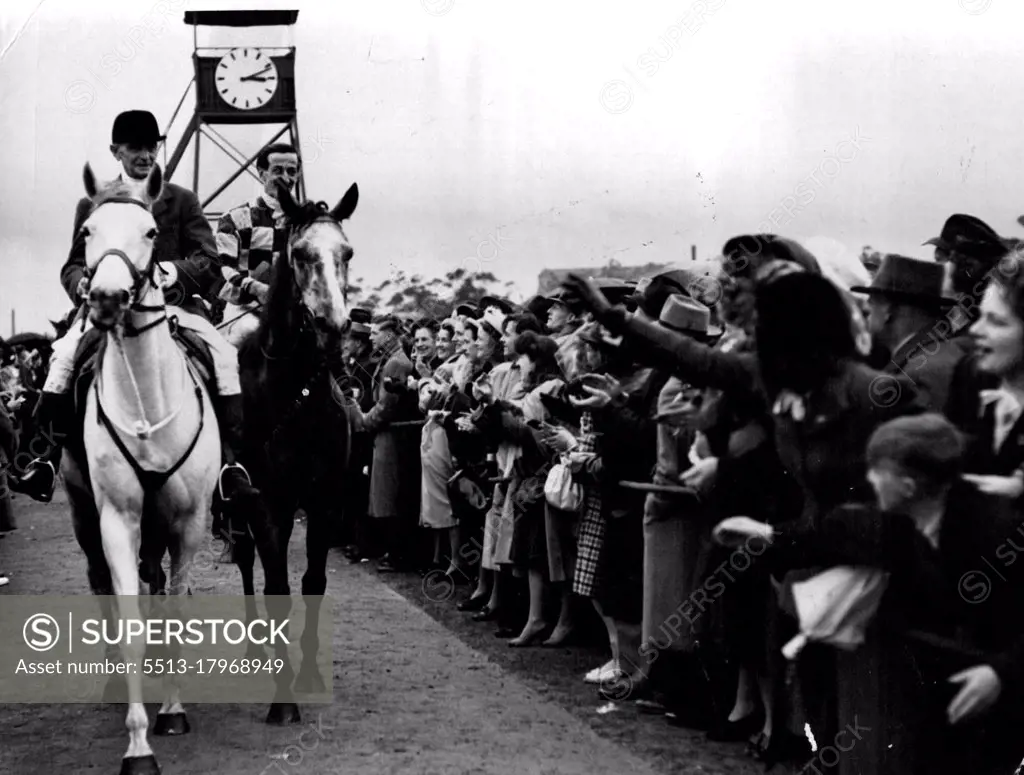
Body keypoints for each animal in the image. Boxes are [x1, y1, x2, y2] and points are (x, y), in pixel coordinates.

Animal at [62, 160, 221, 769]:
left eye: (152, 232)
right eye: (87, 232)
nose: (106, 297)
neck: (148, 405)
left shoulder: (190, 521)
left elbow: (175, 607)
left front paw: (173, 711)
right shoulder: (117, 518)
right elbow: (126, 614)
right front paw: (137, 745)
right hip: (84, 515)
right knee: (101, 584)